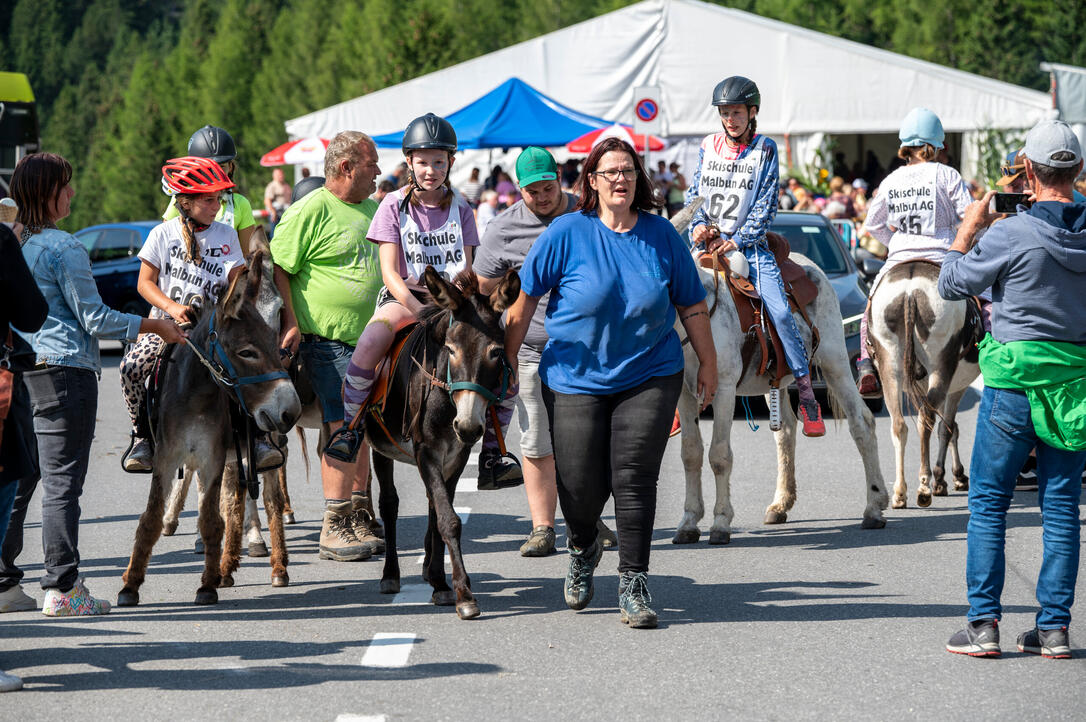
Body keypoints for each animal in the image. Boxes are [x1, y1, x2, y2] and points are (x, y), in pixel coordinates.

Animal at [371, 267, 519, 616]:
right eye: (451, 349)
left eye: (496, 352)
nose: (467, 426)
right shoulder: (426, 451)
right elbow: (448, 519)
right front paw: (463, 594)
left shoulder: (456, 456)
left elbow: (442, 512)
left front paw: (442, 583)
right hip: (380, 449)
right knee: (389, 504)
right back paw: (390, 575)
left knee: (428, 503)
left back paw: (429, 570)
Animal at [668, 211, 890, 542]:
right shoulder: (685, 393)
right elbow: (691, 453)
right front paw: (689, 521)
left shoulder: (723, 389)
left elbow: (719, 455)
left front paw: (720, 522)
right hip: (778, 380)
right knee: (785, 431)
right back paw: (780, 504)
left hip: (835, 362)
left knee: (861, 422)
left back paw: (874, 506)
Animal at [868, 260, 981, 505]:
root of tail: (911, 291)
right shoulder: (957, 387)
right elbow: (948, 428)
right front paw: (947, 478)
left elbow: (946, 426)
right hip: (941, 368)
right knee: (927, 420)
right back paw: (924, 485)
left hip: (889, 365)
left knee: (901, 424)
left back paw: (901, 492)